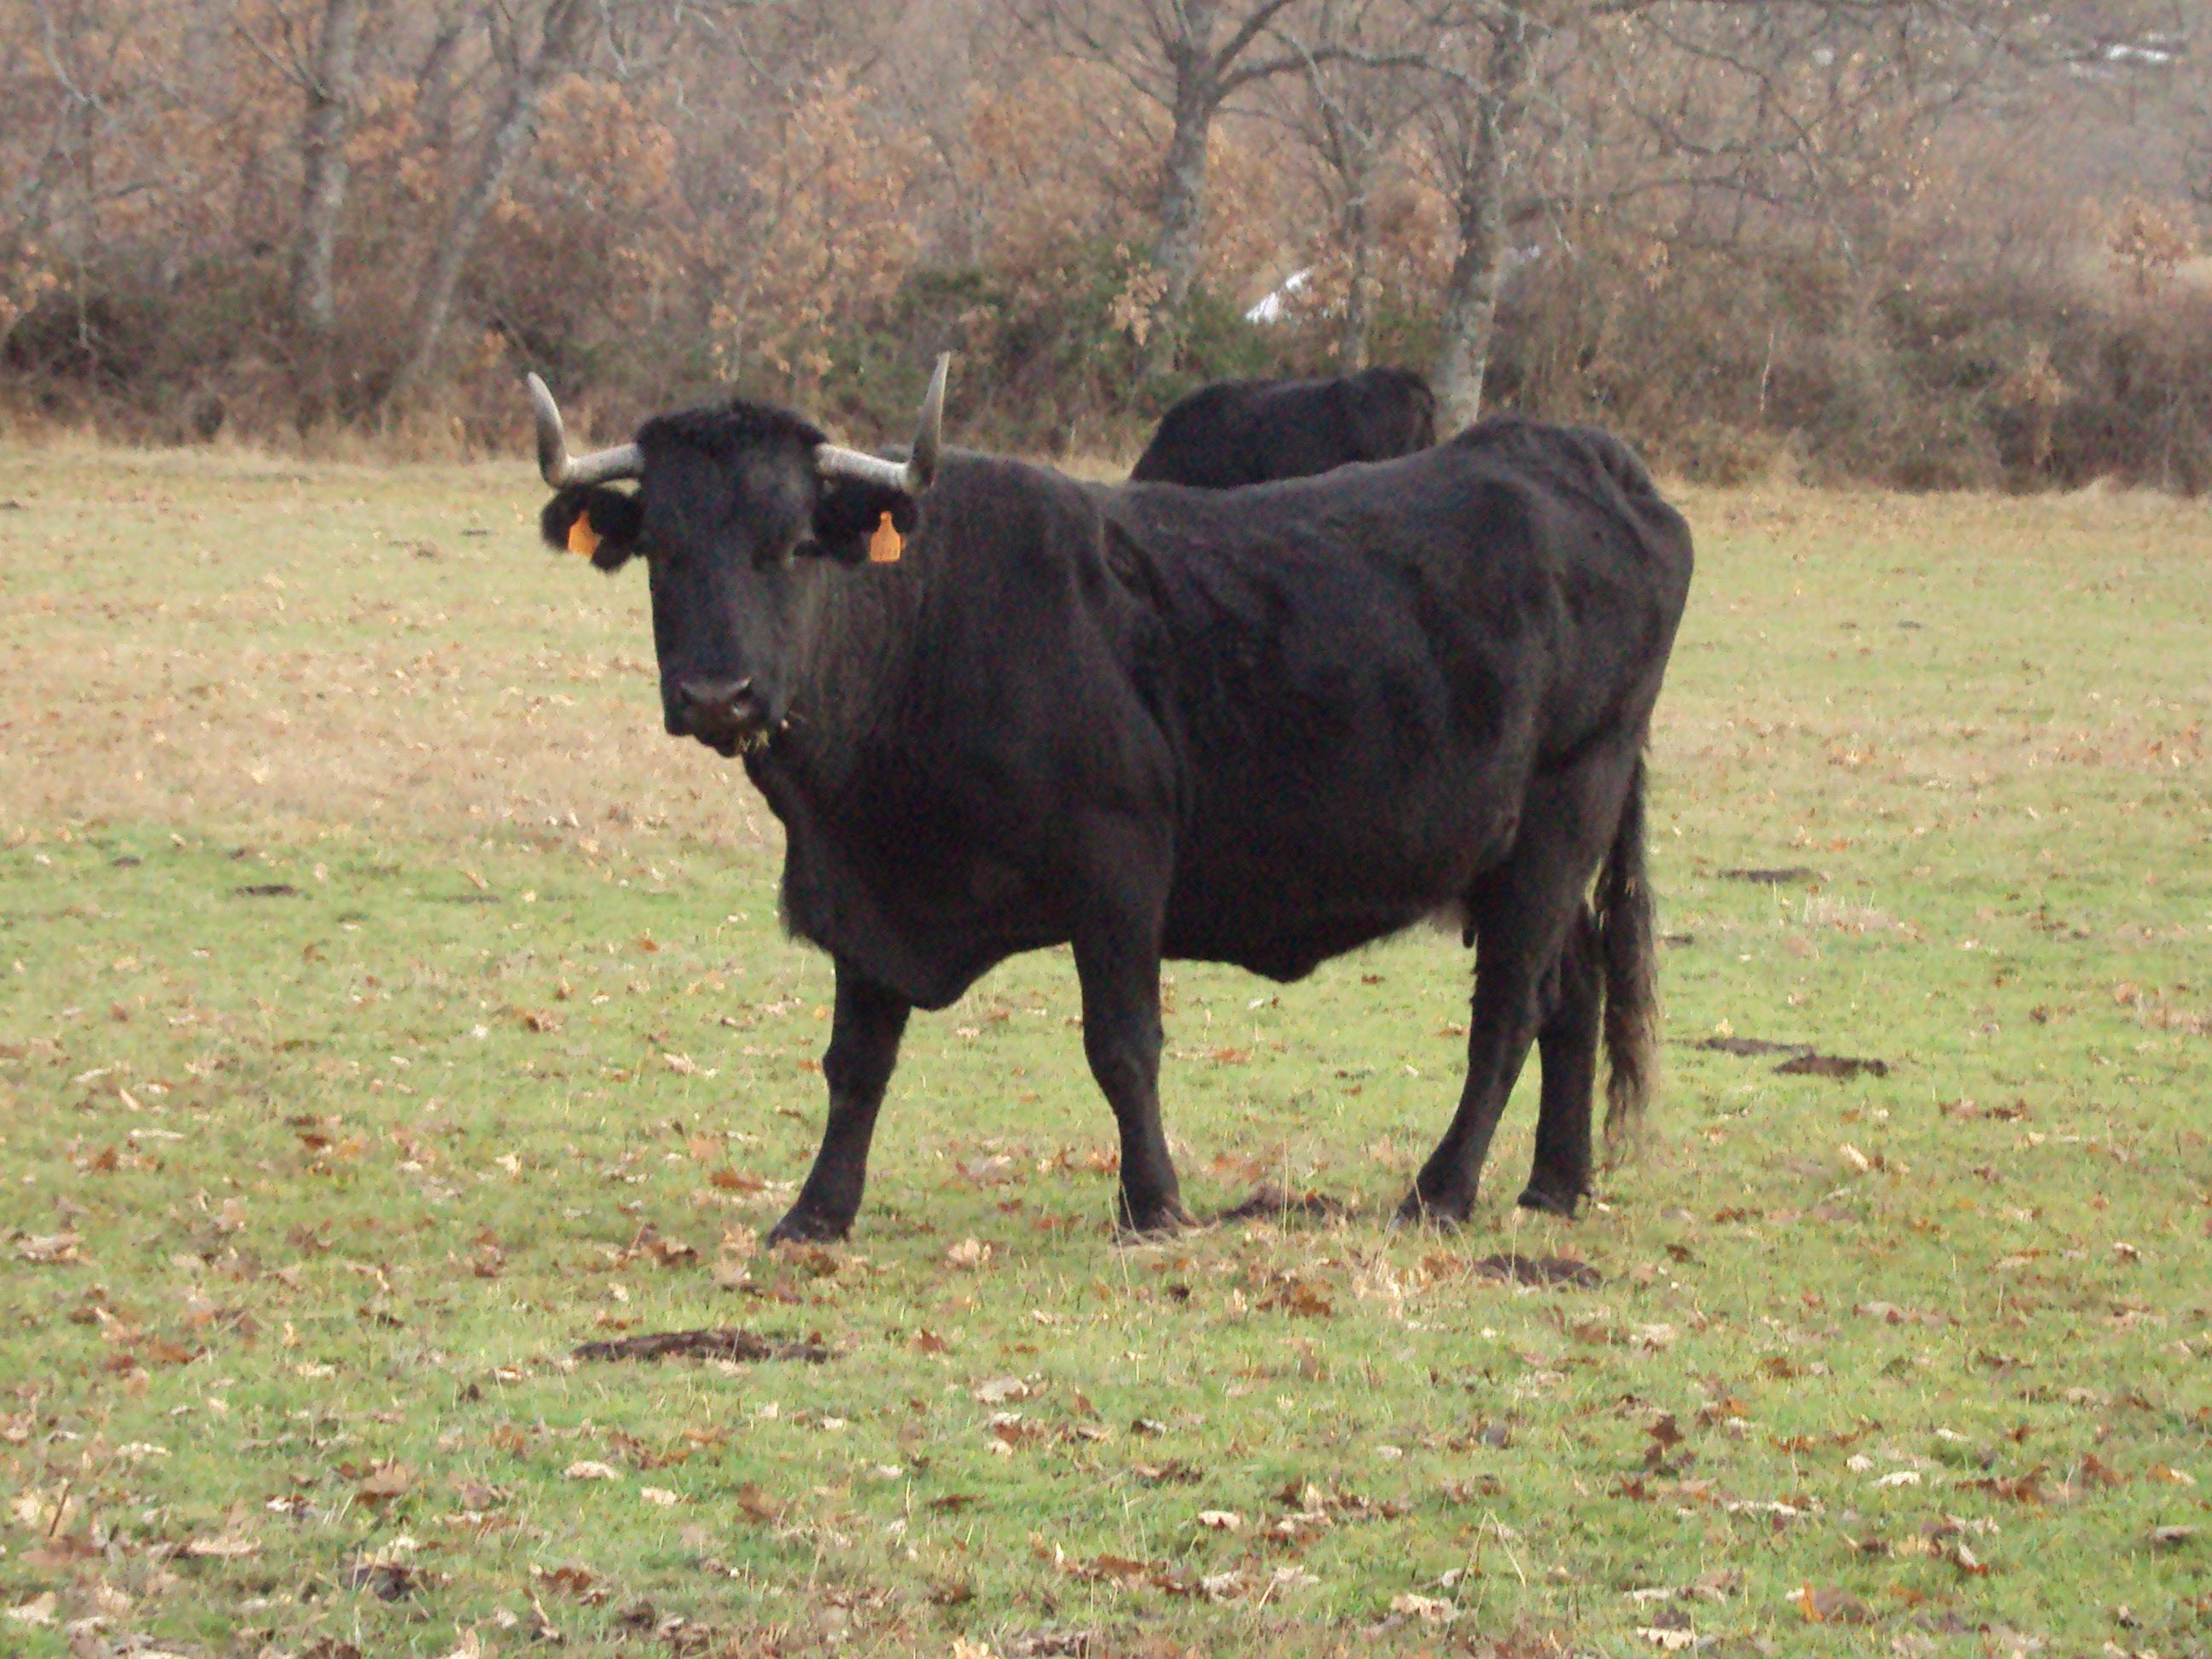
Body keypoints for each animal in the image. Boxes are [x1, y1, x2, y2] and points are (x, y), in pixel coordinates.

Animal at [526, 363, 1680, 1247]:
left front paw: (1155, 1205)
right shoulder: (862, 892)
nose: (717, 695)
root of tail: (1579, 456)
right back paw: (1555, 1184)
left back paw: (1440, 1193)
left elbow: (1123, 1045)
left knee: (1511, 1008)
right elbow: (855, 1065)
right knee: (1573, 987)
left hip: (1563, 807)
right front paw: (816, 1213)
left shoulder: (1118, 868)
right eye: (664, 550)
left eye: (794, 543)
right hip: (1516, 849)